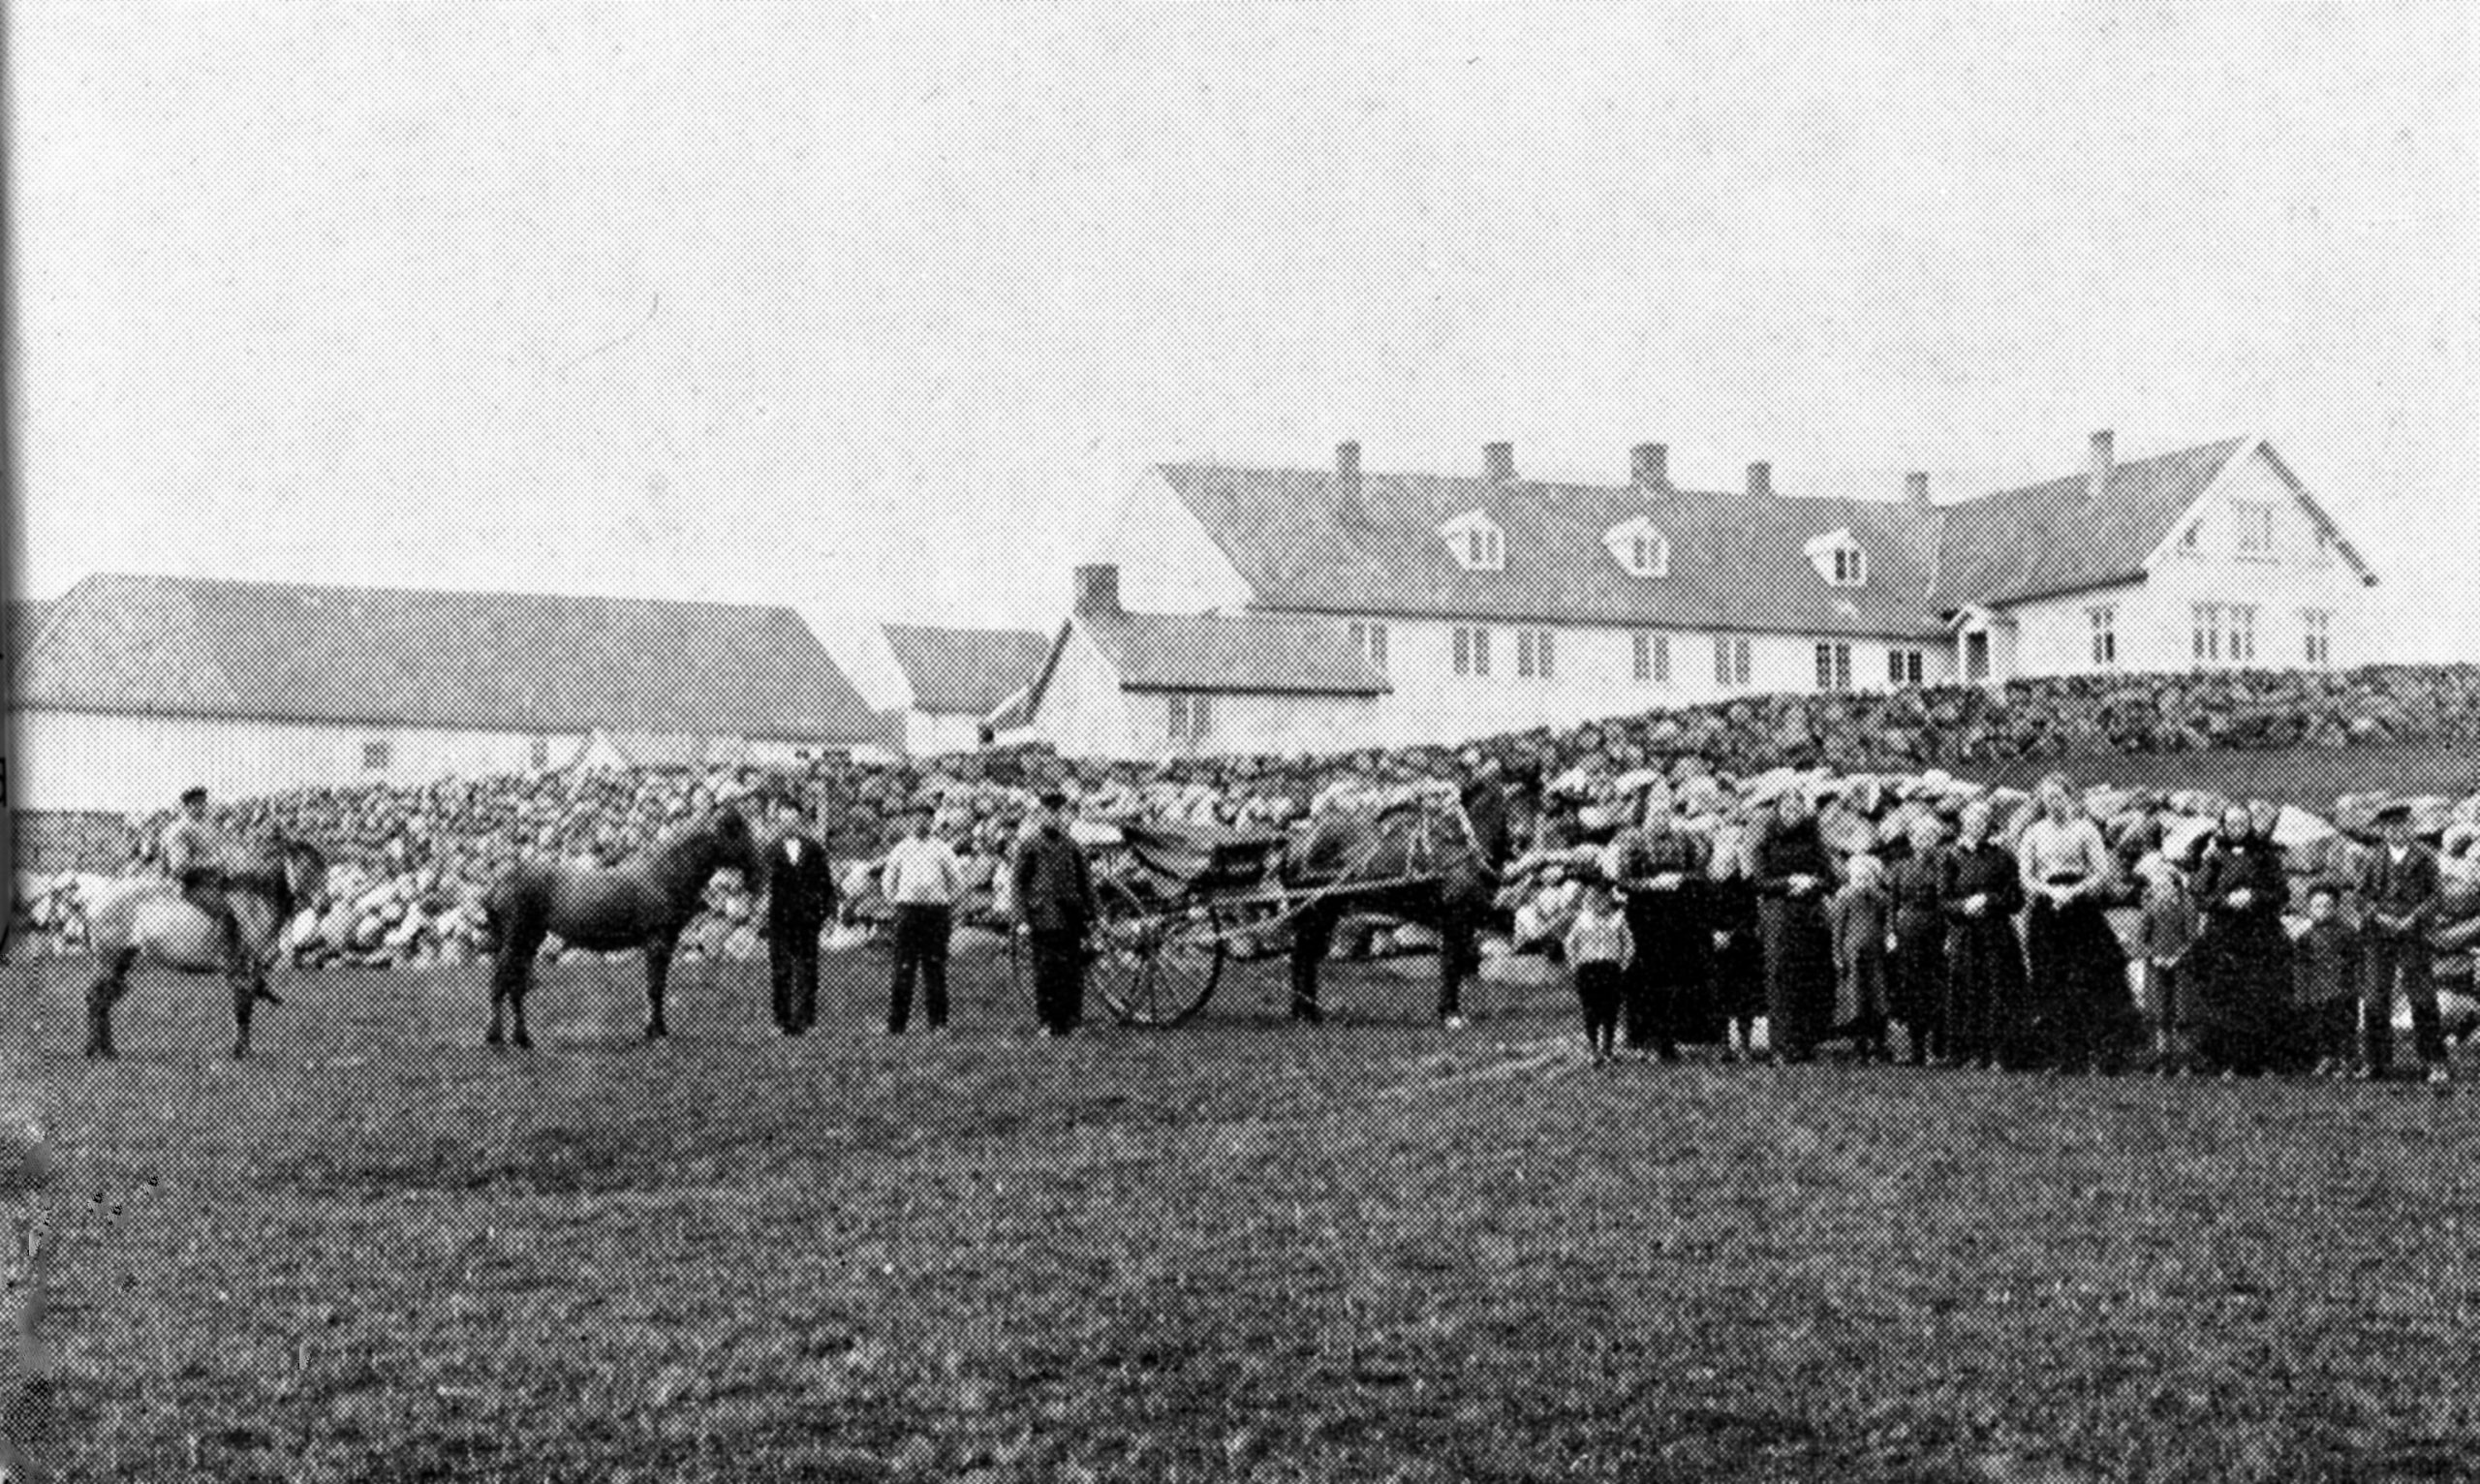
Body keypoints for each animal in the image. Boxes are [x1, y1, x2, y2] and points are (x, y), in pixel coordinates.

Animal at [84, 844, 332, 1062]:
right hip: (108, 960)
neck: (253, 904)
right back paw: (95, 1051)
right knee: (96, 999)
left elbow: (246, 1007)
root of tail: (95, 900)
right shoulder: (244, 970)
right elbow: (242, 1009)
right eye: (306, 868)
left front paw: (244, 1050)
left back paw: (107, 1050)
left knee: (104, 1000)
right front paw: (241, 1053)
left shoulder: (249, 972)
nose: (326, 905)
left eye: (323, 867)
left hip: (121, 961)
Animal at [479, 814, 759, 1047]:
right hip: (515, 941)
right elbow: (654, 988)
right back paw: (496, 1038)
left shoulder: (666, 943)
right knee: (500, 984)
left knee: (515, 988)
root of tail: (500, 882)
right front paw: (655, 1033)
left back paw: (522, 1039)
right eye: (737, 833)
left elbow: (658, 987)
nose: (757, 873)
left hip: (529, 941)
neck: (664, 876)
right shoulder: (657, 942)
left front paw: (658, 1029)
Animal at [1289, 798, 1498, 1027]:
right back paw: (1305, 1014)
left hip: (1323, 915)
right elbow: (1452, 963)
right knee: (1302, 955)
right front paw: (1451, 1016)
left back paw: (1308, 1012)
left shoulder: (1466, 921)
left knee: (1306, 955)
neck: (1460, 852)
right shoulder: (1457, 916)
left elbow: (1457, 962)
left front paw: (1450, 1012)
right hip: (1314, 913)